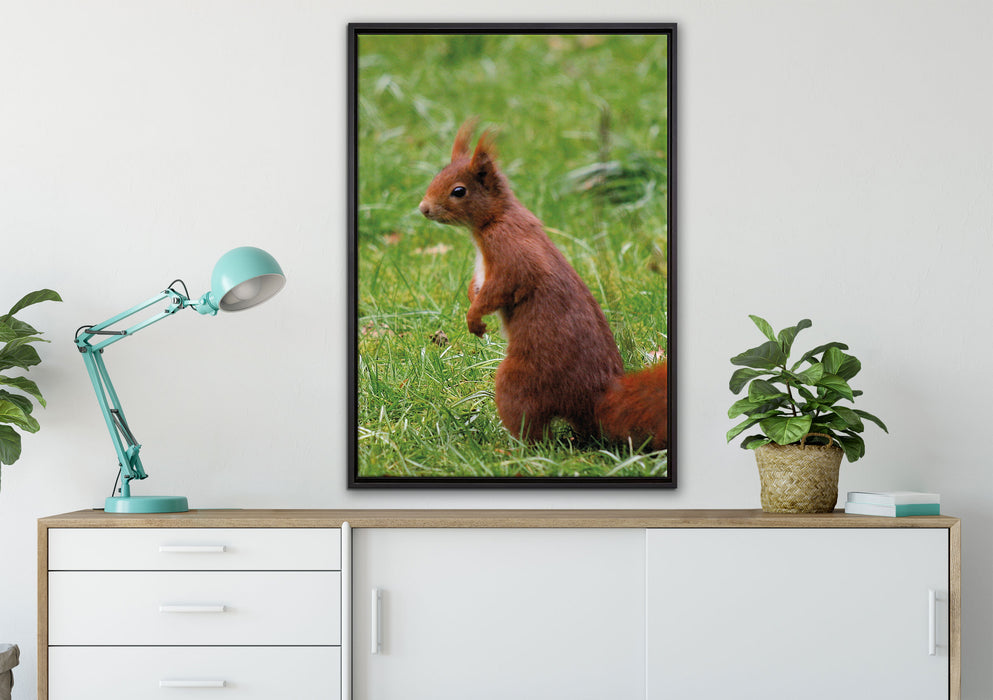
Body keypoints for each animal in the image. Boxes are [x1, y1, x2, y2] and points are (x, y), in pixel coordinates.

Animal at [418, 119, 668, 451]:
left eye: (459, 191)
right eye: (437, 175)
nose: (423, 208)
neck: (494, 220)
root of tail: (596, 397)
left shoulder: (511, 254)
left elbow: (501, 288)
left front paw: (474, 318)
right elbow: (478, 286)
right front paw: (474, 309)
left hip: (521, 381)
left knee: (533, 429)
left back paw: (510, 447)